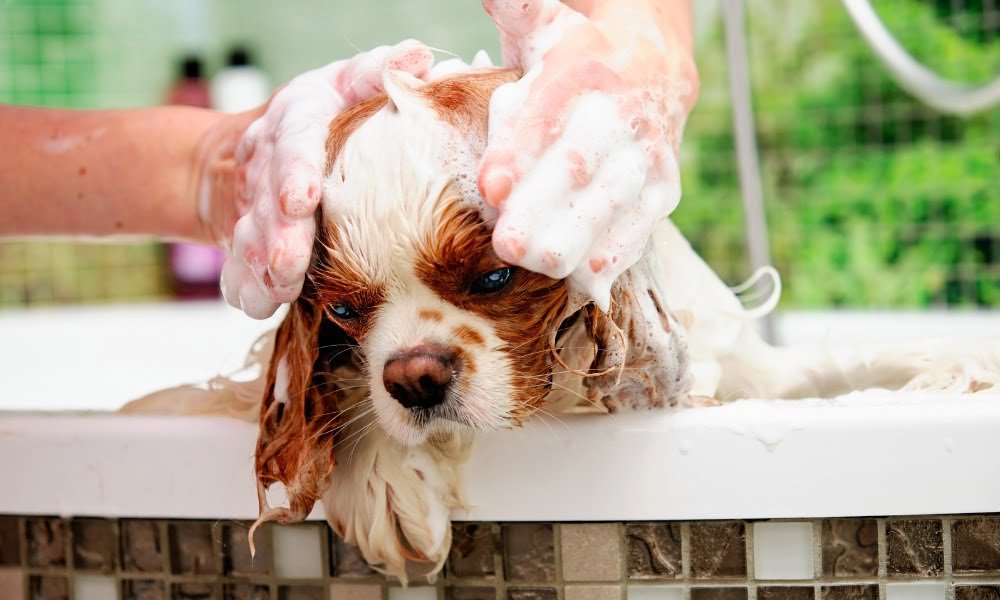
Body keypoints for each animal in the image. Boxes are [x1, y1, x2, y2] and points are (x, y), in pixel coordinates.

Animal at [127, 65, 1000, 580]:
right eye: (342, 308)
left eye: (493, 276)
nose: (415, 379)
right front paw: (383, 475)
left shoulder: (743, 373)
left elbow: (837, 371)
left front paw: (949, 367)